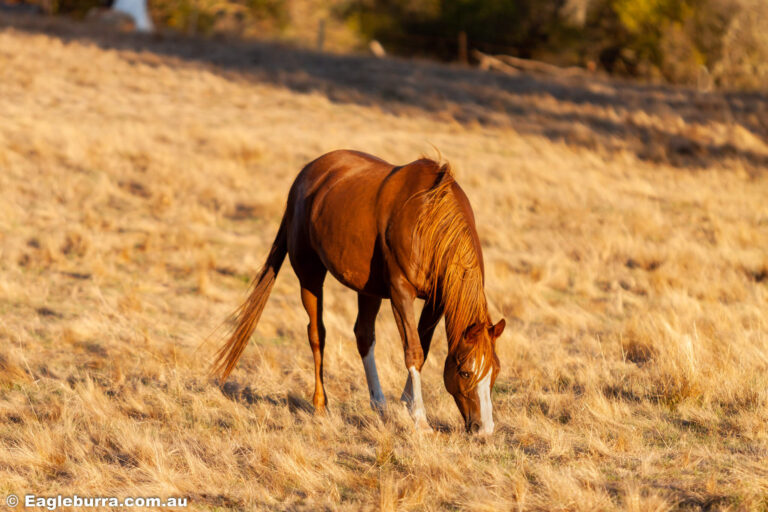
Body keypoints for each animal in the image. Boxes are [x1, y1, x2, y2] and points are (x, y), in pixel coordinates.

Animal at [213, 150, 508, 434]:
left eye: (495, 371)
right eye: (466, 372)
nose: (484, 429)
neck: (428, 219)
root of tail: (304, 176)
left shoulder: (436, 301)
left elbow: (421, 348)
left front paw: (405, 404)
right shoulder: (401, 292)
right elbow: (413, 350)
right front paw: (420, 420)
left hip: (368, 290)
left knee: (364, 336)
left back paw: (379, 404)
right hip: (310, 276)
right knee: (317, 334)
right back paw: (320, 404)